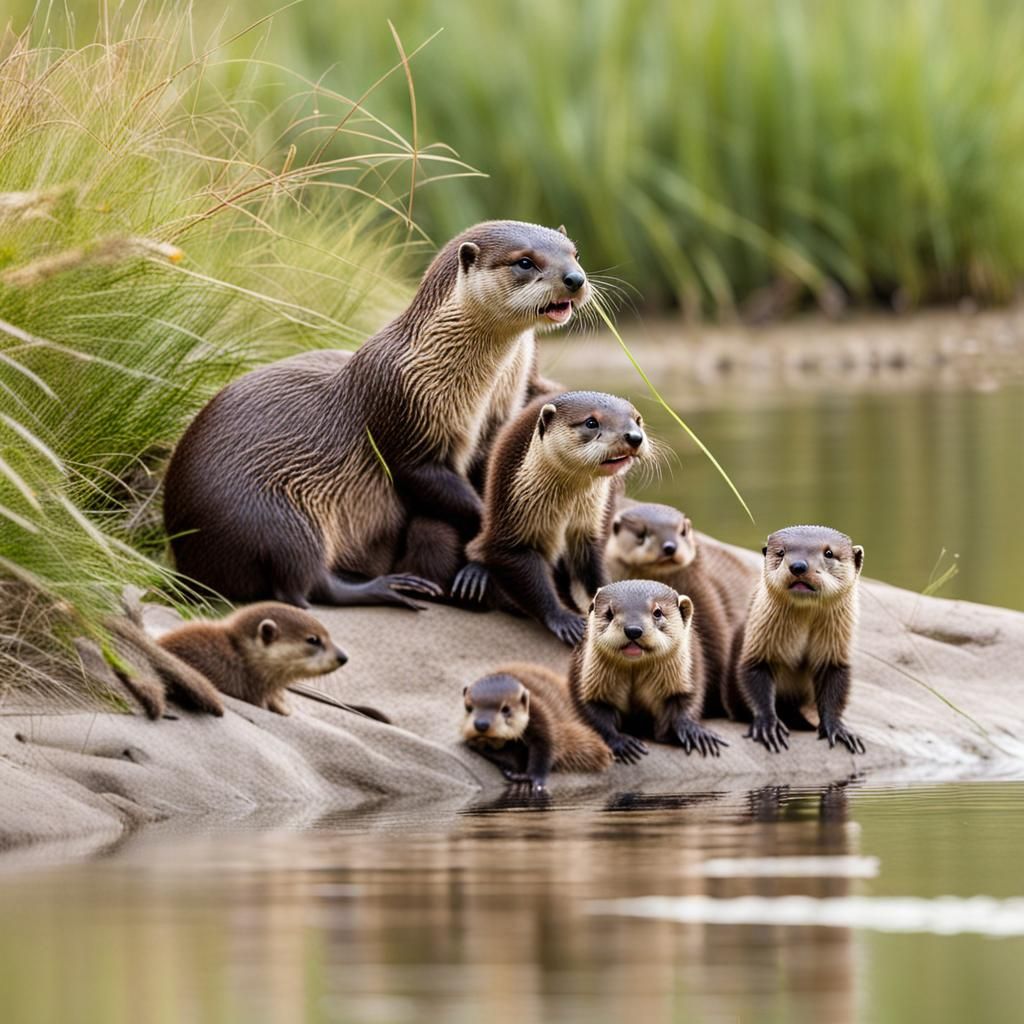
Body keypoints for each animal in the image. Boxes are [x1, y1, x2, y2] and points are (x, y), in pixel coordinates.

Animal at [163, 221, 590, 608]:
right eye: (525, 262)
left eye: (574, 254)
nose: (575, 279)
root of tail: (187, 555)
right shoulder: (403, 412)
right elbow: (443, 489)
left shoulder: (496, 426)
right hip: (276, 517)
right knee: (303, 587)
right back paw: (388, 588)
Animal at [452, 391, 650, 645]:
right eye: (591, 422)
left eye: (637, 419)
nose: (634, 437)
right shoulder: (512, 519)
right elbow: (522, 570)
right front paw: (565, 619)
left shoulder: (590, 528)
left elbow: (593, 568)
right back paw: (475, 573)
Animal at [462, 662, 612, 792]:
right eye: (468, 707)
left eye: (506, 709)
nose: (481, 724)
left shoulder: (540, 713)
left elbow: (546, 746)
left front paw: (534, 778)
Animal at [569, 579, 728, 761]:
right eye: (609, 612)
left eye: (657, 612)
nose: (633, 630)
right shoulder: (585, 681)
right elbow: (593, 715)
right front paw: (621, 742)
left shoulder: (690, 676)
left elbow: (686, 703)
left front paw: (694, 731)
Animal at [725, 525, 865, 754]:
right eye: (781, 552)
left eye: (829, 553)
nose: (798, 565)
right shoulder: (757, 645)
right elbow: (753, 677)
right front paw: (769, 725)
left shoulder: (835, 654)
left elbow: (835, 684)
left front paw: (837, 728)